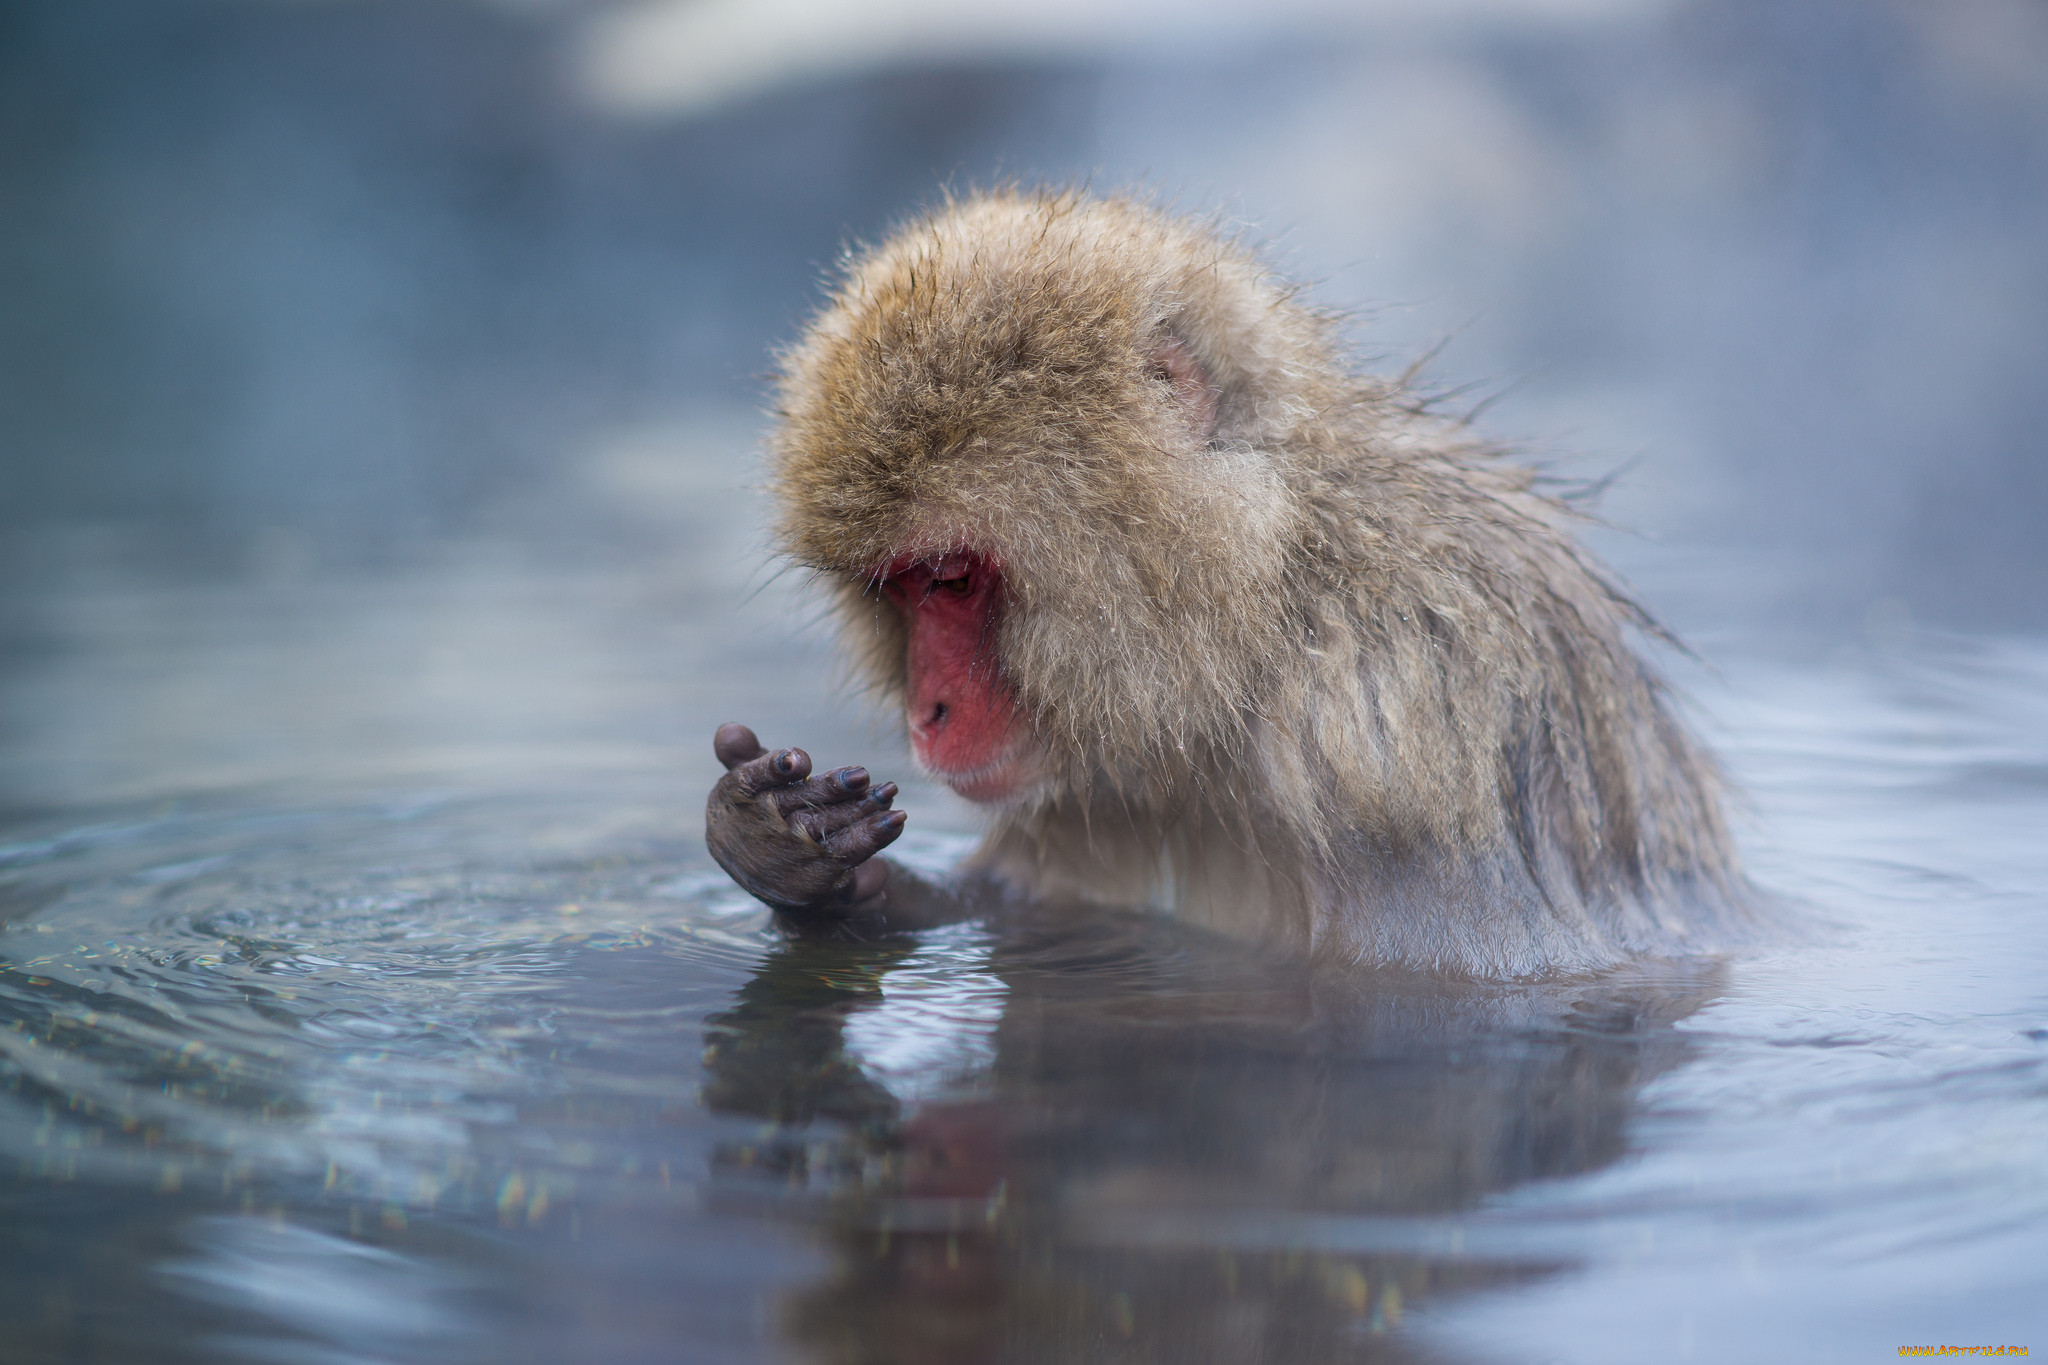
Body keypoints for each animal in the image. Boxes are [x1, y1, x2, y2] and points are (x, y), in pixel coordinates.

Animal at [700, 187, 1744, 978]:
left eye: (951, 580)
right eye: (899, 592)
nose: (929, 711)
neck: (1257, 633)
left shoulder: (1396, 723)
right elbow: (1015, 905)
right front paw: (784, 846)